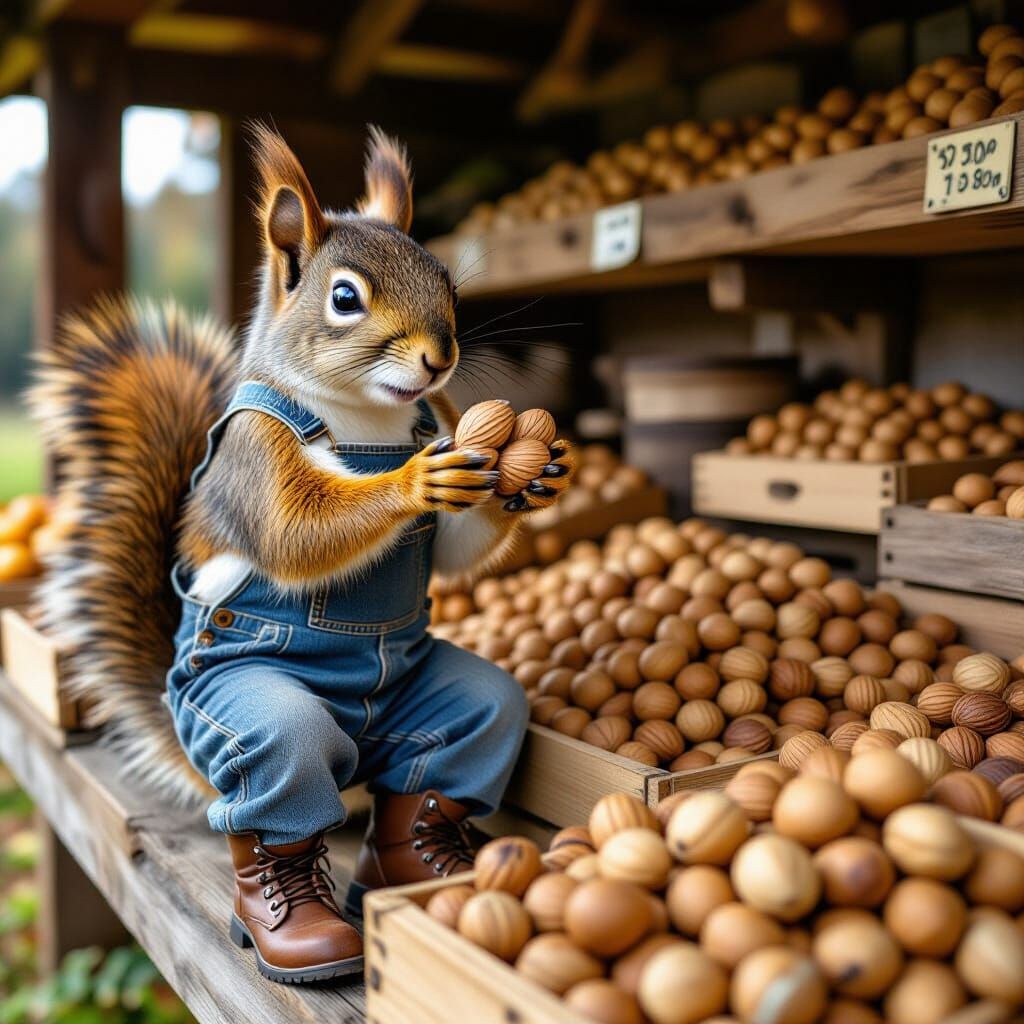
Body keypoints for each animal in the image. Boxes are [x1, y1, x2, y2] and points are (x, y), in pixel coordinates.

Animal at [29, 125, 575, 808]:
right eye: (344, 298)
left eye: (448, 283)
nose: (440, 358)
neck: (366, 415)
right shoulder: (254, 450)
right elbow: (292, 533)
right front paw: (415, 481)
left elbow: (454, 548)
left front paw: (536, 475)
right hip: (241, 707)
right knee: (284, 752)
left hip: (443, 711)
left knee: (479, 721)